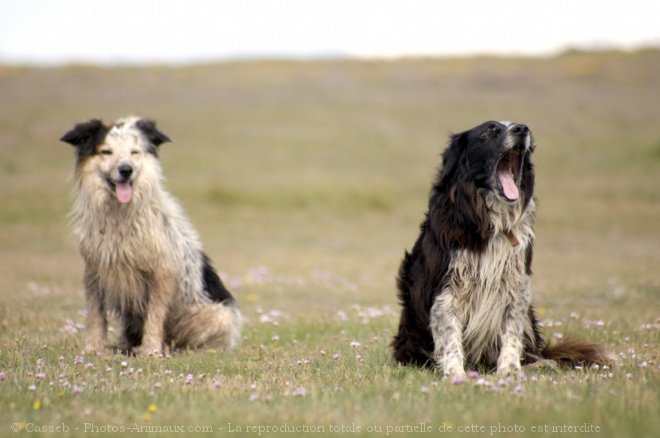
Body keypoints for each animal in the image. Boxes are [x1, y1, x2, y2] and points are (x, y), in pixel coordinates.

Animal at [392, 120, 608, 376]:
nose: (522, 129)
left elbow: (511, 332)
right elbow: (450, 335)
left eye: (518, 125)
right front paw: (455, 373)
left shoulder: (516, 284)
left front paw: (510, 372)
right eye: (489, 130)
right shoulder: (448, 288)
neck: (490, 219)